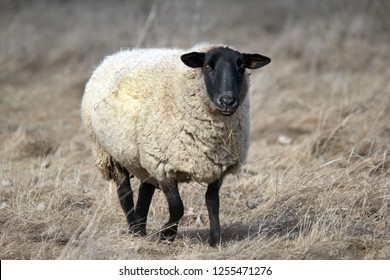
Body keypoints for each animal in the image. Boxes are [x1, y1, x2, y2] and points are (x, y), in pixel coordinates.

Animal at [81, 42, 272, 246]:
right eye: (207, 66)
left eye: (241, 66)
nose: (227, 101)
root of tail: (114, 56)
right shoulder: (164, 166)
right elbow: (177, 207)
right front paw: (167, 235)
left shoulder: (218, 166)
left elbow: (213, 202)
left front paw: (215, 240)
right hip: (110, 153)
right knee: (125, 193)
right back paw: (134, 228)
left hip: (145, 159)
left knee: (145, 190)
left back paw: (140, 228)